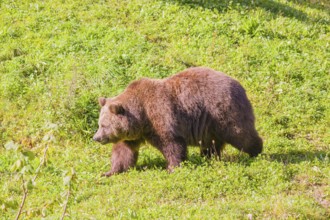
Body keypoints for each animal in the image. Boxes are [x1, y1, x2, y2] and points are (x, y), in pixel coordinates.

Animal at [93, 66, 262, 176]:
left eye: (104, 125)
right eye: (99, 124)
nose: (96, 137)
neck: (142, 117)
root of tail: (238, 84)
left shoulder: (161, 116)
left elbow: (172, 144)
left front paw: (172, 168)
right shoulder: (133, 135)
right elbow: (123, 151)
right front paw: (110, 171)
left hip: (222, 111)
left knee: (240, 134)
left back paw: (257, 152)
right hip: (210, 125)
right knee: (212, 144)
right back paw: (208, 158)